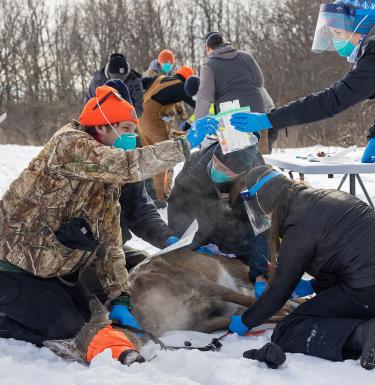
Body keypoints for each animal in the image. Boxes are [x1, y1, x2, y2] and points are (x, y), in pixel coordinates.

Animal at [44, 249, 294, 364]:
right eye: (91, 355)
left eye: (113, 332)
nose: (129, 359)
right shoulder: (201, 323)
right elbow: (247, 317)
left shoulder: (197, 282)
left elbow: (253, 304)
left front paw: (288, 312)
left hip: (239, 271)